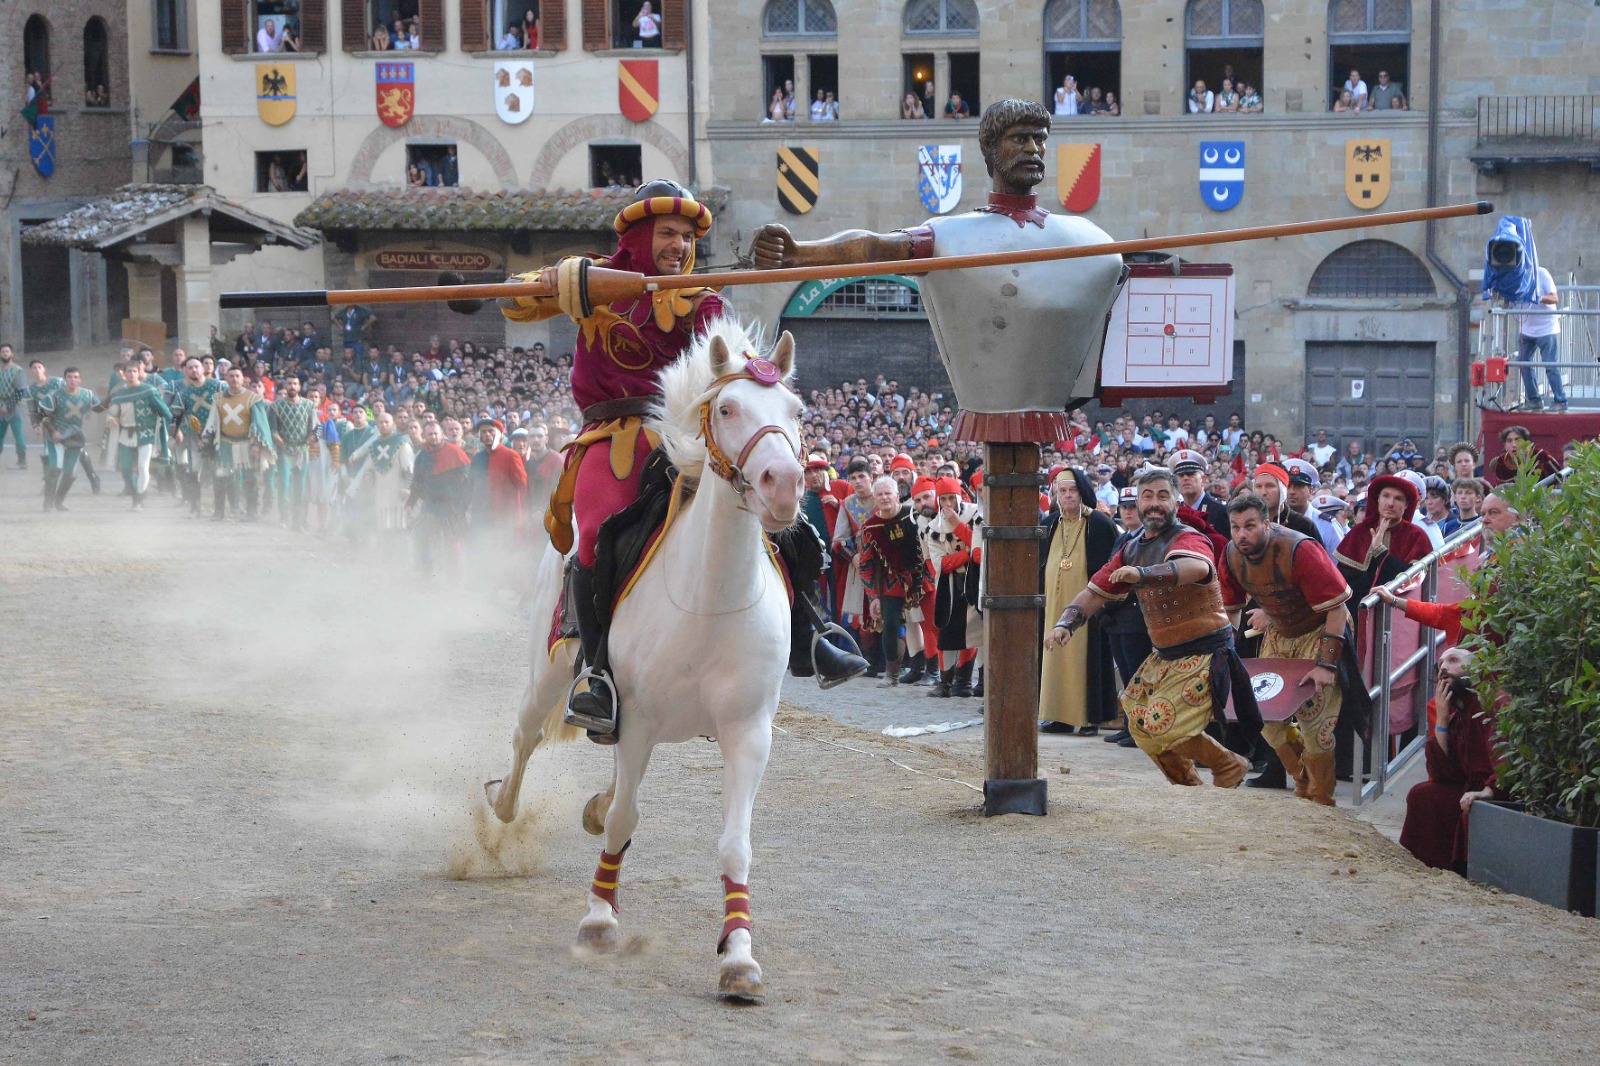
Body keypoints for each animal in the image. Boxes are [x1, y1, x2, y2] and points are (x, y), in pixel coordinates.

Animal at [483, 315, 812, 998]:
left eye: (796, 411)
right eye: (728, 407)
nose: (785, 486)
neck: (709, 598)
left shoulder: (747, 733)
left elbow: (734, 844)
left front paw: (738, 956)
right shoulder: (636, 720)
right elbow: (624, 820)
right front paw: (599, 918)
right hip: (548, 672)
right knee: (527, 736)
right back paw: (503, 806)